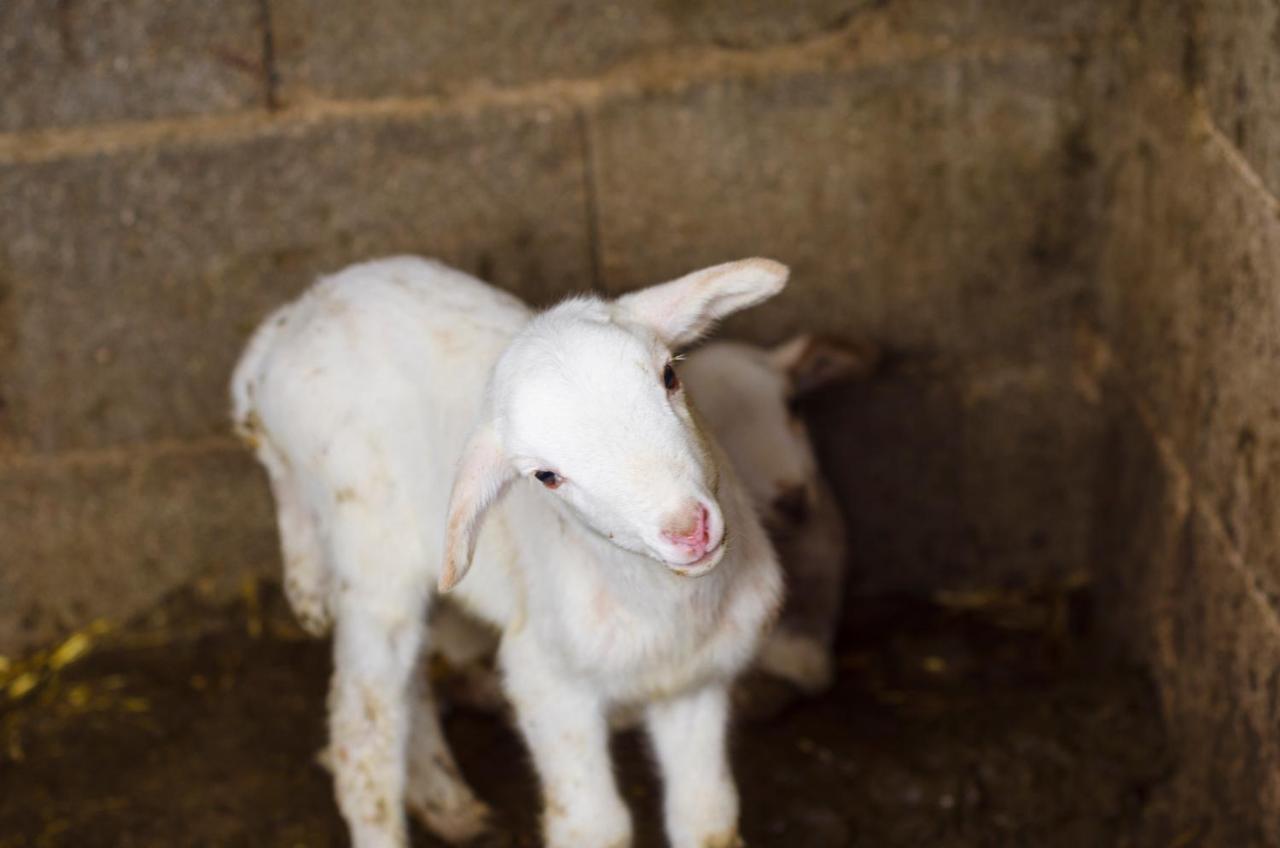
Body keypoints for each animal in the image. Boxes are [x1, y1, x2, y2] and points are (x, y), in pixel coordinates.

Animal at [232, 256, 788, 848]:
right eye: (545, 476)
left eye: (670, 376)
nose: (688, 529)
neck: (671, 615)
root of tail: (290, 319)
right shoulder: (544, 679)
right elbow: (596, 824)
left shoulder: (696, 683)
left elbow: (706, 817)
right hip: (368, 548)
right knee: (362, 725)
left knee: (409, 685)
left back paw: (445, 800)